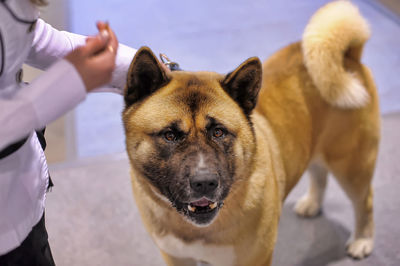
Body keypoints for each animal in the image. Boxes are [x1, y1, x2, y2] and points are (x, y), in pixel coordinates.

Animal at [123, 1, 380, 264]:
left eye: (218, 132)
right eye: (170, 135)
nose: (205, 182)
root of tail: (349, 56)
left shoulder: (255, 257)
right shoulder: (175, 257)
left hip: (352, 166)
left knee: (365, 201)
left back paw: (362, 240)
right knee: (319, 173)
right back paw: (312, 203)